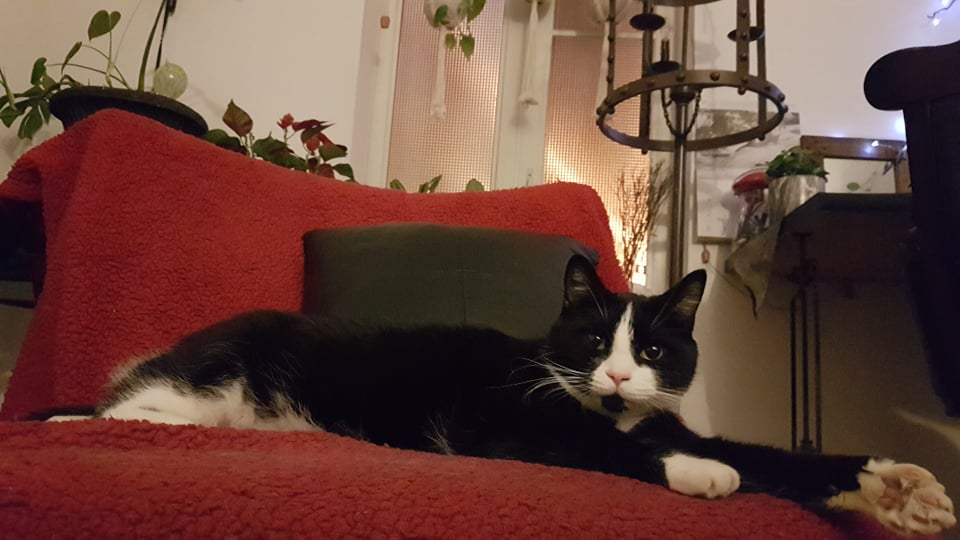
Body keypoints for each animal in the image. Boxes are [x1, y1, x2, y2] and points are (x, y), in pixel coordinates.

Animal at [91, 257, 954, 536]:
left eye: (650, 351)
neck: (611, 409)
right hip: (211, 382)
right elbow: (596, 447)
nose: (618, 376)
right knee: (125, 412)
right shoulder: (495, 424)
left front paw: (898, 487)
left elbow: (765, 453)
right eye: (593, 341)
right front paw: (699, 474)